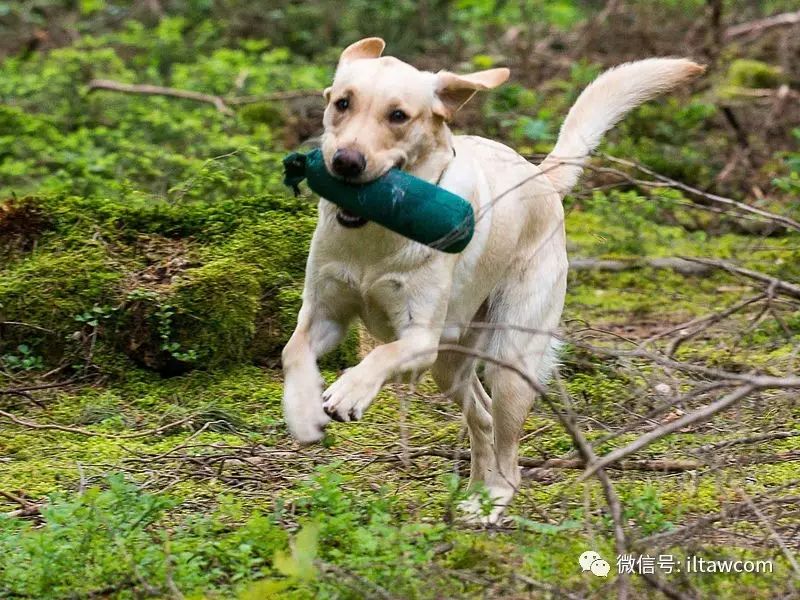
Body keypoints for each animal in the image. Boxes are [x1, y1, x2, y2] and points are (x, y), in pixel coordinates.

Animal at [280, 37, 700, 524]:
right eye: (342, 103)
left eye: (398, 116)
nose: (345, 162)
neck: (375, 236)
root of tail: (540, 177)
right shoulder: (324, 314)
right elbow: (293, 351)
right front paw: (303, 409)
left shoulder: (419, 337)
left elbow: (383, 354)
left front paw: (350, 390)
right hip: (451, 365)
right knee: (480, 417)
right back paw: (477, 491)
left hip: (509, 360)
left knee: (507, 448)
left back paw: (493, 499)